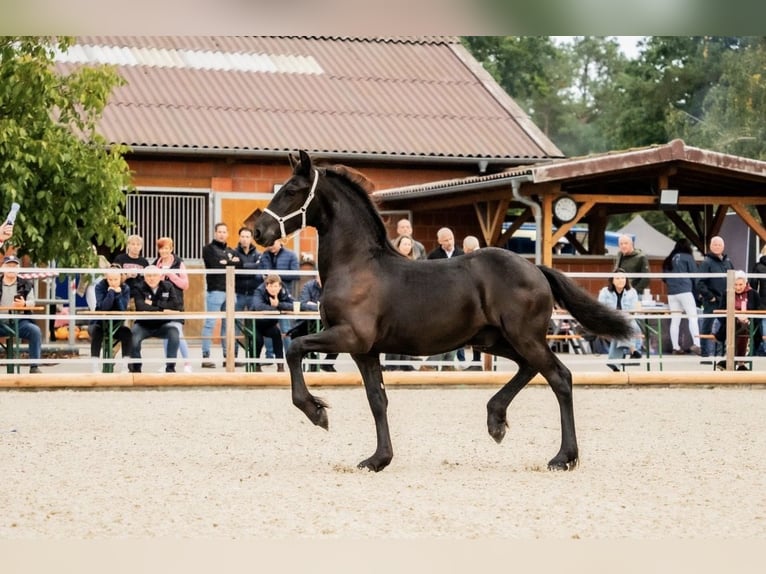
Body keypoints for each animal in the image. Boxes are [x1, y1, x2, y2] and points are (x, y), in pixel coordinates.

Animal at [253, 150, 634, 472]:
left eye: (291, 191)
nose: (257, 231)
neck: (357, 265)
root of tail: (536, 268)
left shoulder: (350, 337)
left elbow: (293, 348)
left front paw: (317, 412)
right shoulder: (366, 351)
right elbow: (377, 399)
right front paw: (378, 459)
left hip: (523, 337)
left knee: (560, 378)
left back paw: (563, 457)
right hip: (493, 341)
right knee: (529, 369)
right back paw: (496, 420)